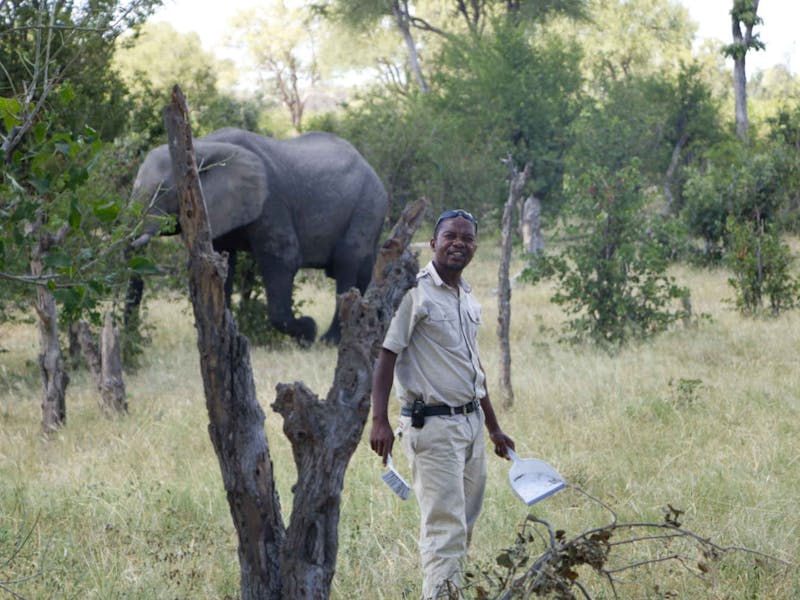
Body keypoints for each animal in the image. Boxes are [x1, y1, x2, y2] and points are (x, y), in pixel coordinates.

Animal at [130, 127, 388, 345]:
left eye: (163, 190)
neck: (202, 146)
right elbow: (219, 263)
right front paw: (225, 337)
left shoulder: (271, 200)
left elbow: (283, 257)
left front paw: (308, 332)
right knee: (365, 266)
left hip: (369, 202)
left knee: (347, 261)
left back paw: (330, 341)